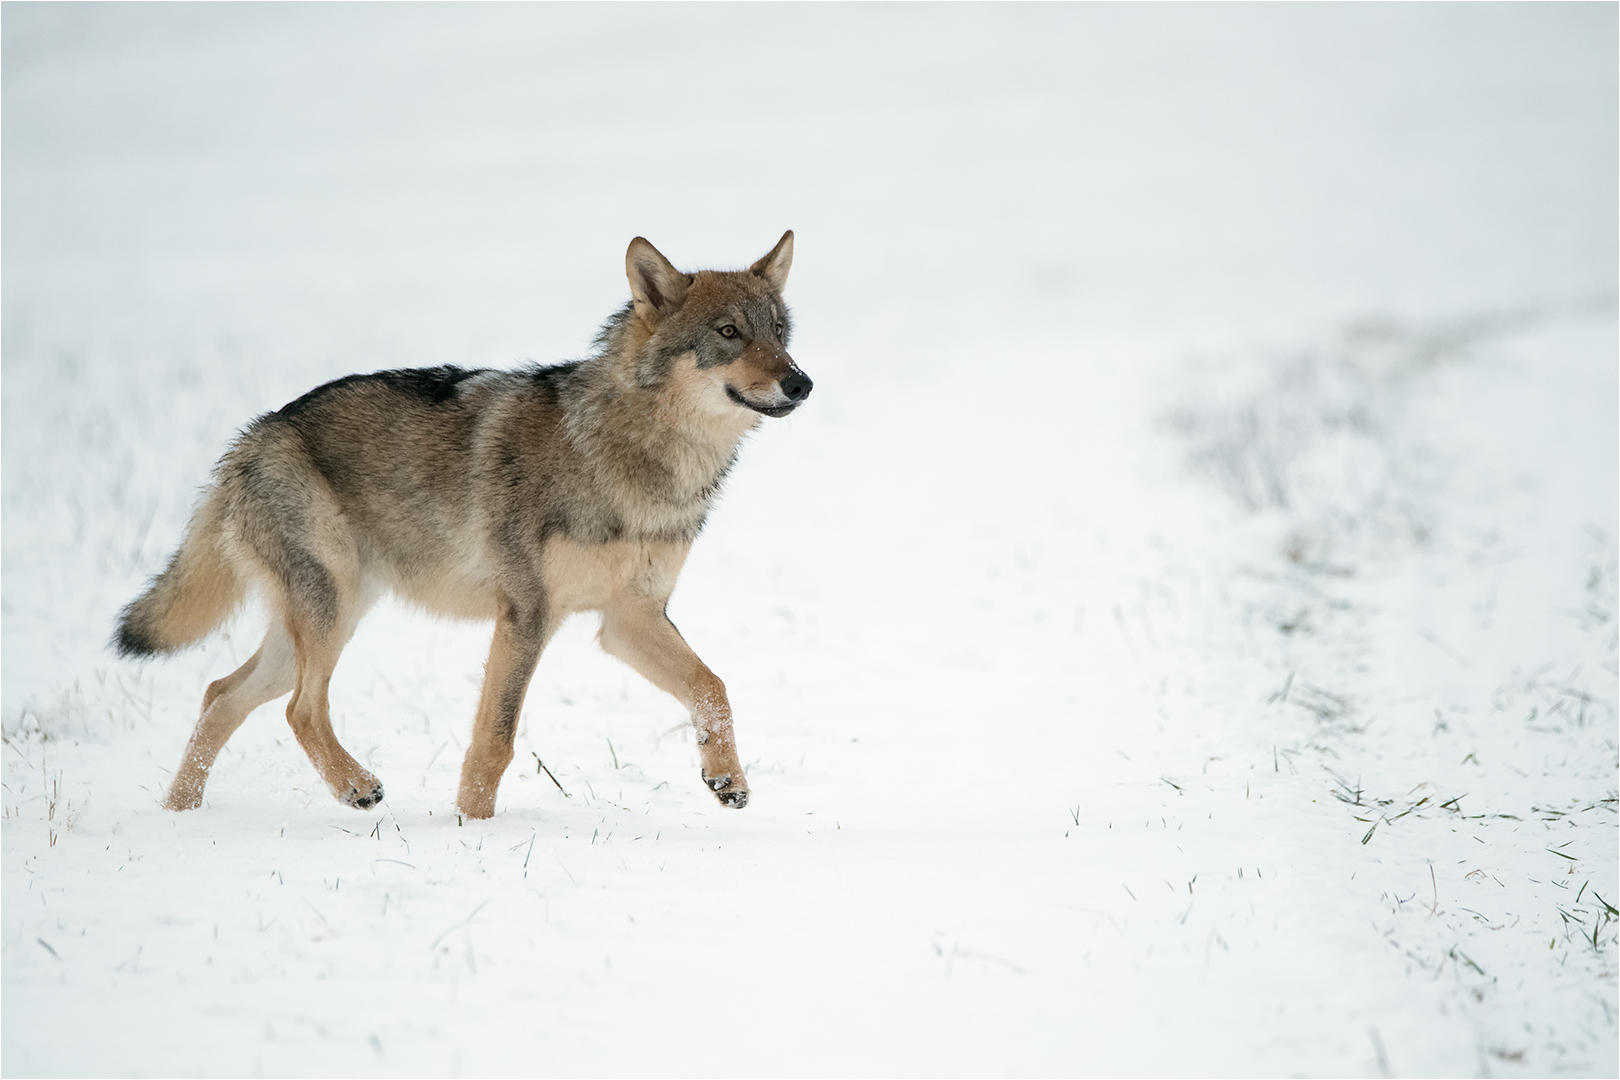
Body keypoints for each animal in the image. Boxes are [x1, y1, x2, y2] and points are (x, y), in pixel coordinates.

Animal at [114, 229, 810, 819]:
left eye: (779, 332)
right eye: (728, 332)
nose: (801, 383)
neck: (635, 457)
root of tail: (251, 437)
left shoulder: (628, 618)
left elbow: (713, 686)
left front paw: (727, 779)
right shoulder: (528, 613)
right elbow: (495, 740)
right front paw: (474, 830)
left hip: (320, 624)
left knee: (220, 695)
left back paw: (178, 818)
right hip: (329, 615)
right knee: (299, 711)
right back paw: (355, 788)